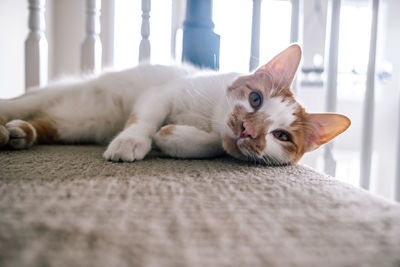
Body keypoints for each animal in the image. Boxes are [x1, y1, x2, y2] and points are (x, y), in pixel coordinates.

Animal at [0, 44, 350, 164]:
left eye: (281, 136)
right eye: (255, 99)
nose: (247, 129)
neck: (208, 116)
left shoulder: (223, 139)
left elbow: (216, 144)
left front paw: (172, 137)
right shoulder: (163, 91)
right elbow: (145, 118)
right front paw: (131, 141)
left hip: (76, 124)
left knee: (45, 124)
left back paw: (17, 134)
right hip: (52, 96)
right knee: (18, 104)